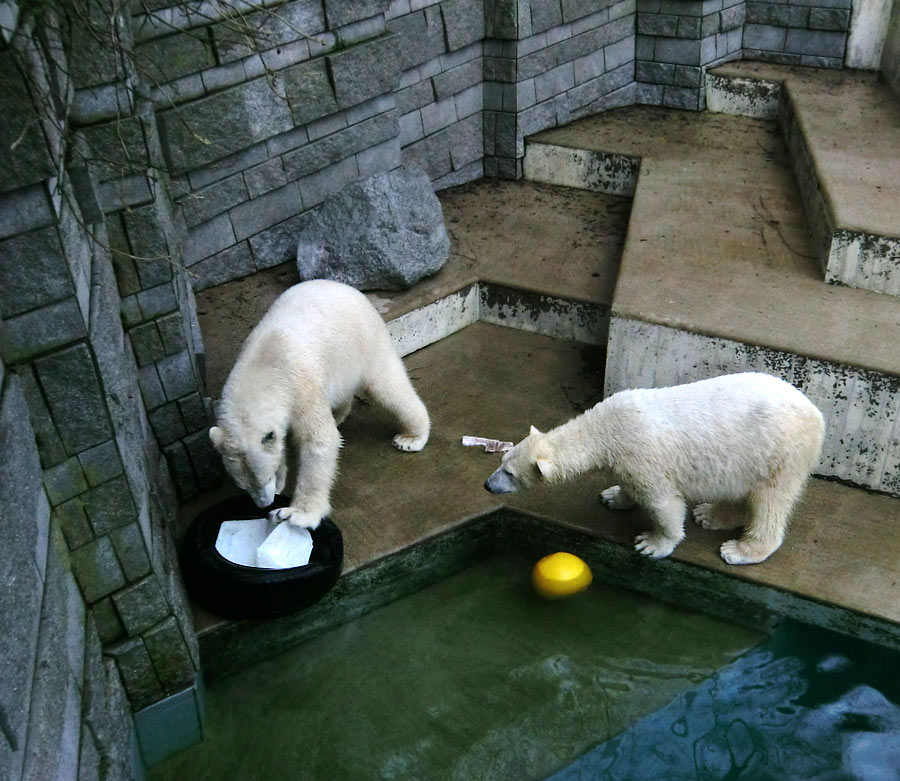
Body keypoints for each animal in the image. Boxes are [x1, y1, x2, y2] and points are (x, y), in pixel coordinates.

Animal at [209, 278, 430, 528]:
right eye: (243, 485)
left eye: (264, 477)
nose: (264, 504)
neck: (263, 366)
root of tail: (348, 288)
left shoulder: (299, 386)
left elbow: (319, 440)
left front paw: (294, 513)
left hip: (364, 341)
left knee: (388, 387)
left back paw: (411, 438)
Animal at [486, 374, 824, 564]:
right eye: (501, 463)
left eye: (510, 474)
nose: (488, 485)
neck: (606, 427)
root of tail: (817, 415)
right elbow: (626, 485)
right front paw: (613, 497)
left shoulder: (643, 455)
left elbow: (663, 503)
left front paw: (652, 544)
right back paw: (710, 514)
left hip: (778, 452)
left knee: (770, 502)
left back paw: (740, 550)